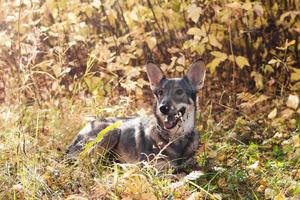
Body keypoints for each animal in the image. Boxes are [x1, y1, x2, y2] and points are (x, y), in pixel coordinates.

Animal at [66, 59, 206, 170]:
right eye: (160, 93)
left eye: (179, 92)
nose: (163, 108)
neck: (176, 138)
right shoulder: (150, 168)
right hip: (112, 132)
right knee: (84, 162)